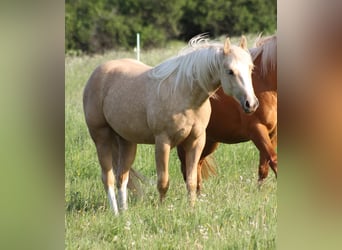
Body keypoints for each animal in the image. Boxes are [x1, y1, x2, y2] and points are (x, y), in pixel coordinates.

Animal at [83, 34, 260, 215]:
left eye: (251, 68)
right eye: (230, 71)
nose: (251, 104)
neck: (184, 94)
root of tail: (97, 73)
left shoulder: (196, 141)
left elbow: (191, 181)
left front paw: (191, 209)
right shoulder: (163, 142)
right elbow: (163, 182)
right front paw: (162, 210)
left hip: (126, 141)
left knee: (122, 177)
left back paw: (125, 212)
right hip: (101, 137)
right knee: (108, 178)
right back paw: (116, 214)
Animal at [178, 34, 276, 192]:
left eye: (251, 68)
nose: (251, 104)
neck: (265, 81)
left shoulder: (272, 133)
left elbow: (264, 167)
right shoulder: (257, 130)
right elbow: (273, 160)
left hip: (209, 142)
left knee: (197, 165)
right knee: (188, 170)